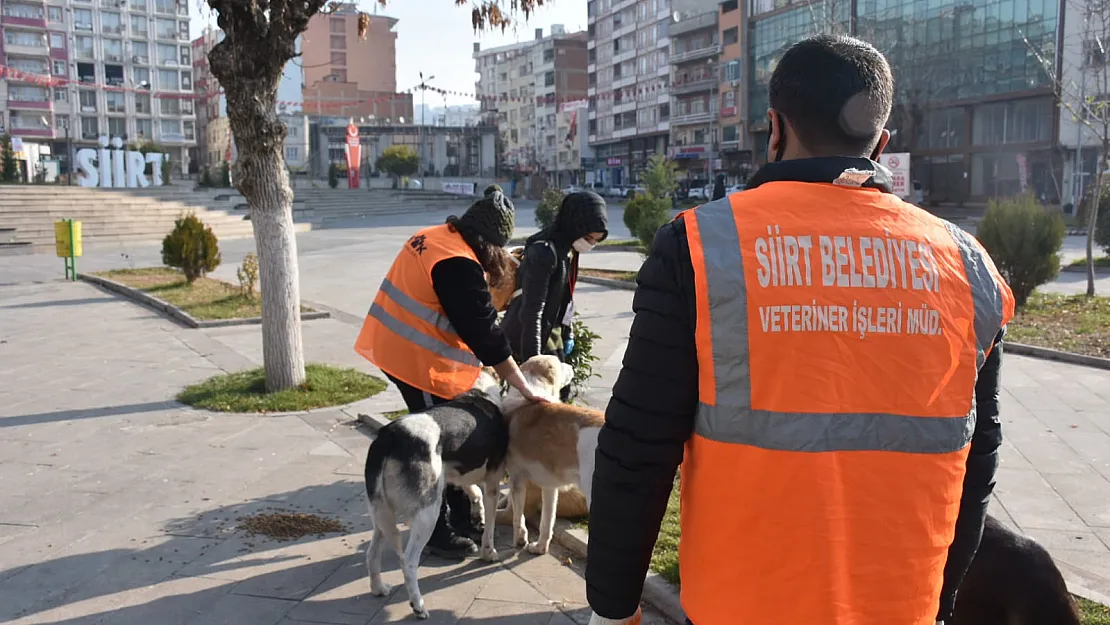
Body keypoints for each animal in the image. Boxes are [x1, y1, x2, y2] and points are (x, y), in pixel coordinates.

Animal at [361, 370, 506, 621]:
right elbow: (489, 526)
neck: (481, 389)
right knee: (408, 562)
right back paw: (418, 605)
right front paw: (489, 552)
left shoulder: (455, 474)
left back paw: (378, 588)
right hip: (427, 513)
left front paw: (476, 515)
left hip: (381, 513)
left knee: (372, 553)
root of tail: (387, 438)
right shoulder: (493, 483)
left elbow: (472, 492)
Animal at [501, 355, 603, 555]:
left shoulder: (517, 481)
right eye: (560, 364)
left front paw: (520, 539)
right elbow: (546, 522)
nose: (571, 365)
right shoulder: (549, 487)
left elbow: (518, 517)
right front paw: (540, 547)